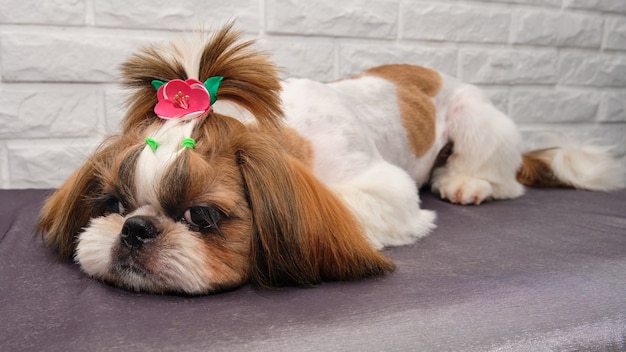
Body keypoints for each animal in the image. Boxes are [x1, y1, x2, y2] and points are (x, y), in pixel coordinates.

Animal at [35, 23, 624, 296]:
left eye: (200, 215)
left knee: (501, 178)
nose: (134, 229)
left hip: (476, 119)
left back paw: (467, 182)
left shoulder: (383, 186)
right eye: (113, 204)